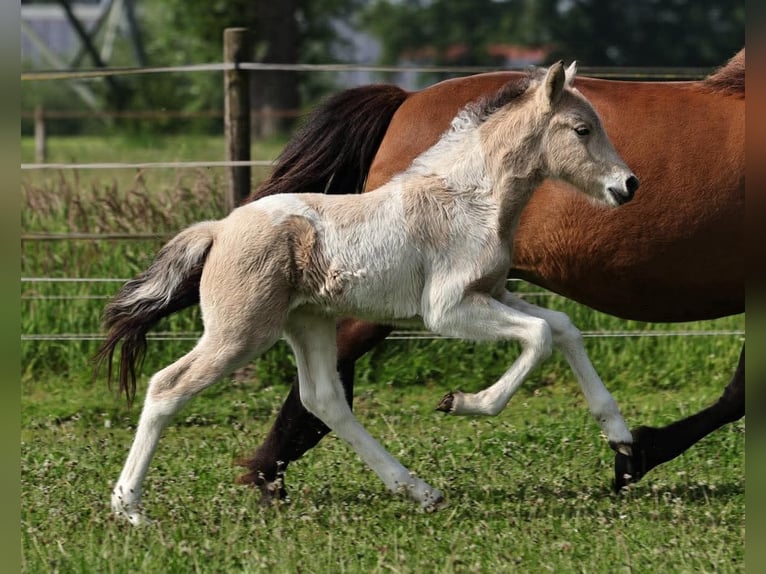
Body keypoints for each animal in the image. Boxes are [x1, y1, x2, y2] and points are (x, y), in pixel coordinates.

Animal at [99, 60, 640, 524]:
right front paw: (462, 403)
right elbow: (539, 336)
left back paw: (420, 491)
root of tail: (218, 229)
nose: (628, 185)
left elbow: (562, 328)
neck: (471, 201)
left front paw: (621, 438)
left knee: (324, 399)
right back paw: (130, 508)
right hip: (240, 333)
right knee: (167, 387)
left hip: (308, 323)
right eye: (582, 129)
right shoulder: (448, 310)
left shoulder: (493, 293)